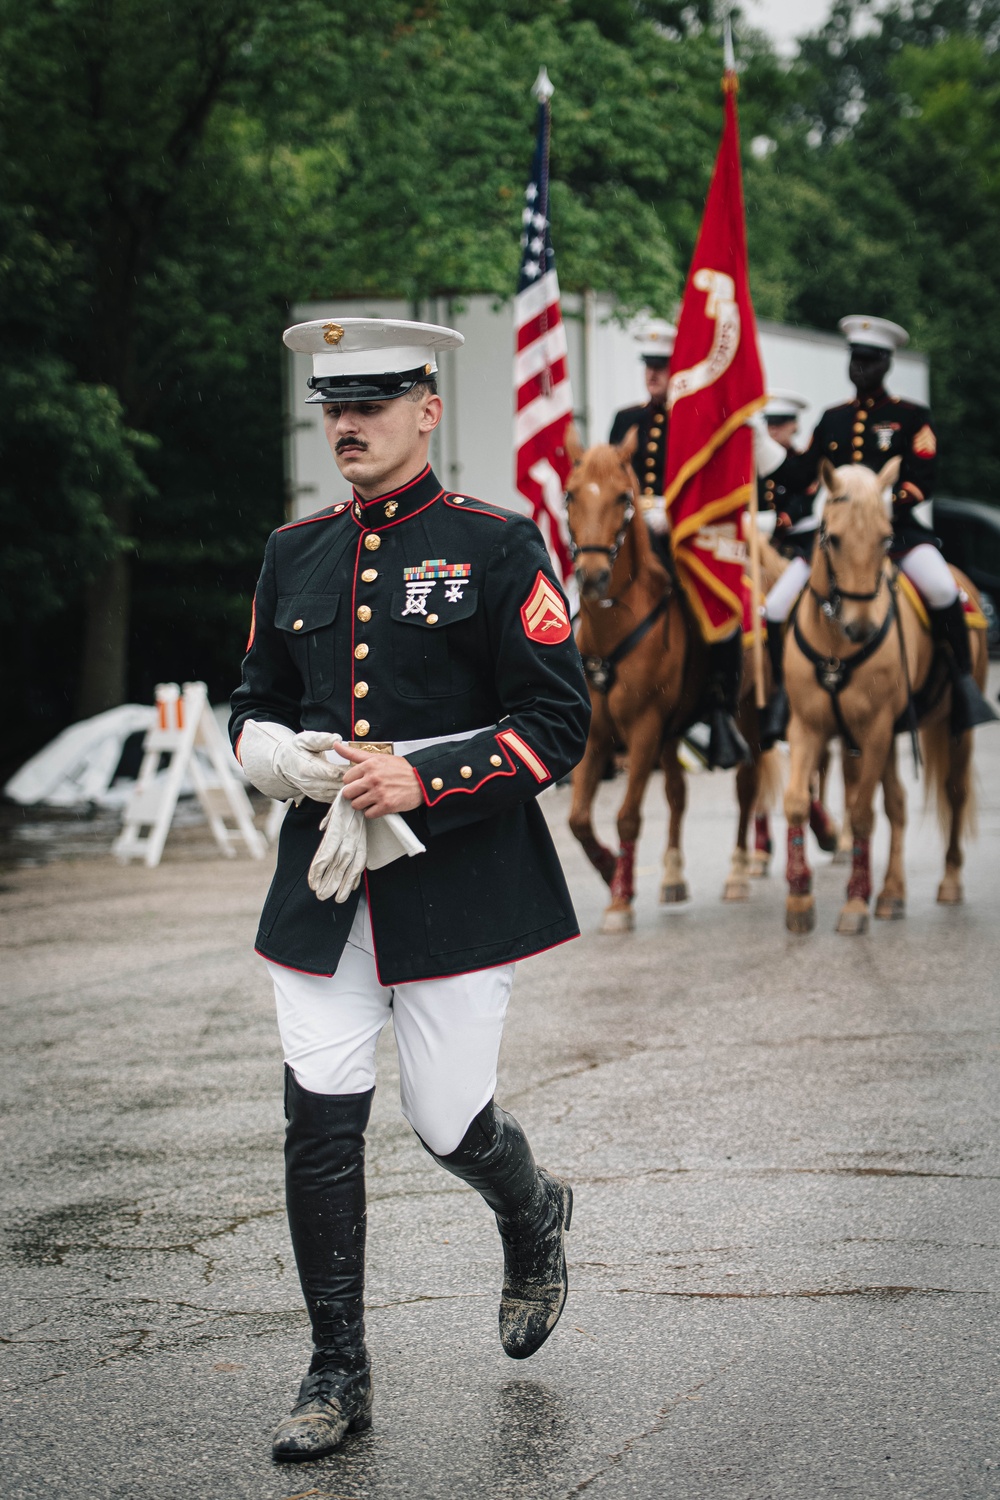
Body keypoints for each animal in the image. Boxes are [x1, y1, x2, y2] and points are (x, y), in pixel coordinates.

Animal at [566, 432, 773, 924]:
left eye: (623, 498)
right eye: (569, 495)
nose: (592, 576)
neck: (615, 629)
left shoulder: (642, 729)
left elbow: (627, 815)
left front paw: (620, 898)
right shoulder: (596, 733)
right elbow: (578, 819)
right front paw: (609, 869)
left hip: (748, 715)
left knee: (747, 786)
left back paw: (740, 871)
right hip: (672, 731)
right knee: (678, 793)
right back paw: (673, 876)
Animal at [785, 456, 989, 930]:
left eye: (886, 538)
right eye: (833, 538)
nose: (860, 628)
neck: (835, 645)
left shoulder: (875, 730)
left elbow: (862, 813)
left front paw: (855, 902)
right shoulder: (808, 727)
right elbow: (796, 802)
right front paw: (800, 898)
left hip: (953, 731)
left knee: (954, 793)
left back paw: (948, 881)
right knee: (897, 803)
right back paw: (893, 893)